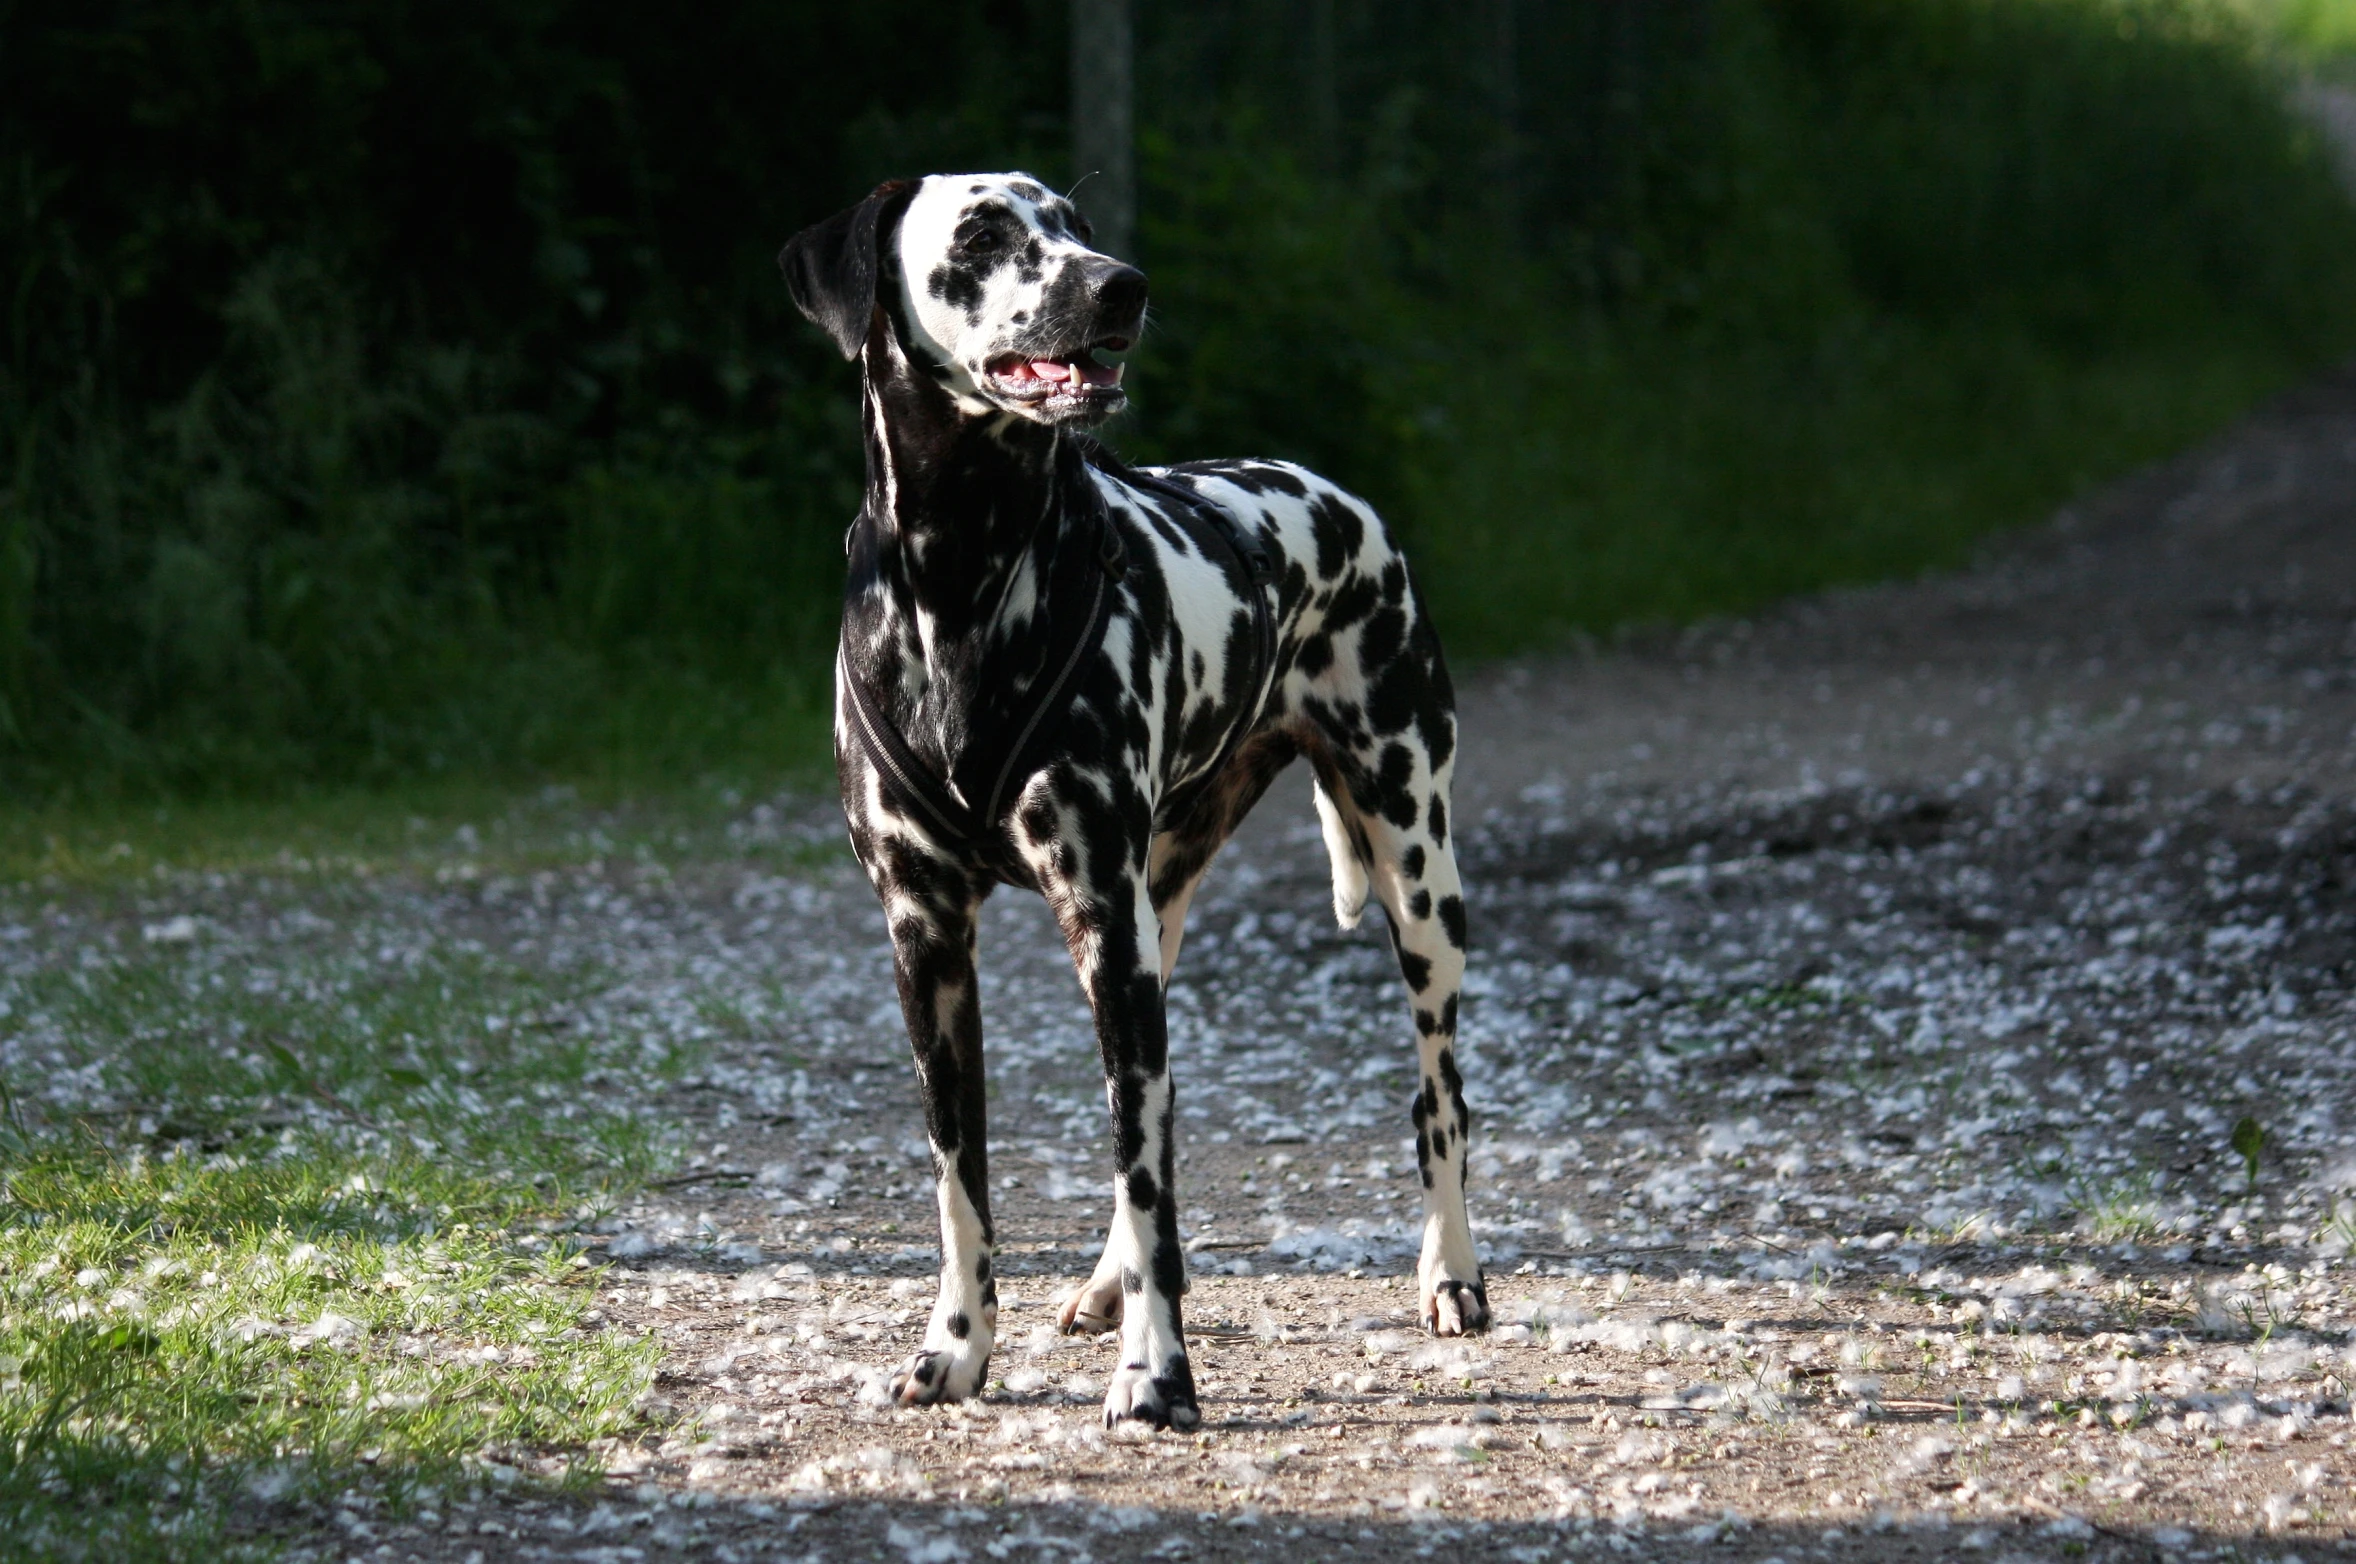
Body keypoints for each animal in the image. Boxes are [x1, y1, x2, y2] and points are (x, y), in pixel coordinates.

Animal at [782, 170, 1479, 1432]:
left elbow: (1149, 1178)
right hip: (1157, 916)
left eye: (1074, 219)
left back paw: (1450, 1273)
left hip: (1416, 880)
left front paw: (1157, 1373)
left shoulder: (1101, 924)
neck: (962, 579)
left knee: (1435, 1098)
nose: (1122, 285)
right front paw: (955, 1349)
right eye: (983, 233)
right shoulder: (930, 945)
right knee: (1151, 1101)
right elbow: (965, 1180)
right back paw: (1107, 1283)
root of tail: (1332, 494)